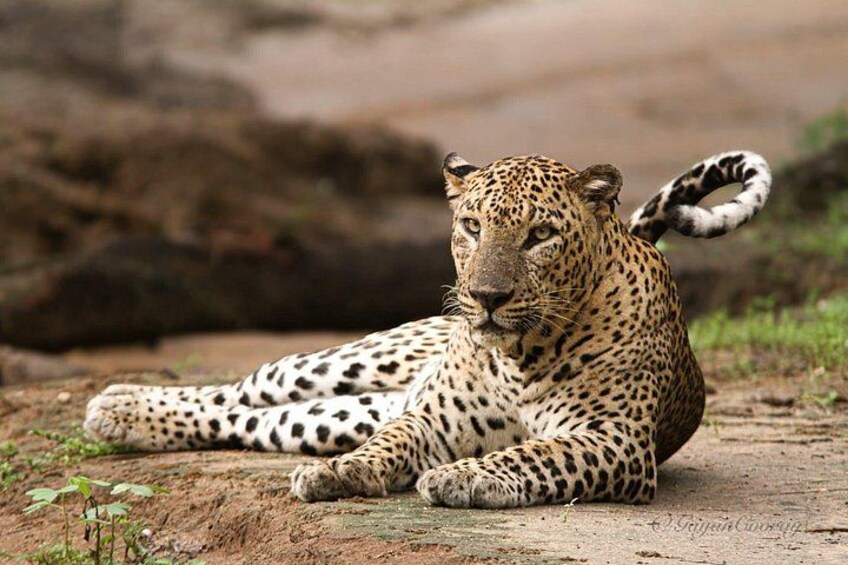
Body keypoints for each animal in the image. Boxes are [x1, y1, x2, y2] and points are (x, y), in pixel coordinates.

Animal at [84, 149, 771, 508]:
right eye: (471, 225)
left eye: (540, 235)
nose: (487, 298)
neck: (520, 353)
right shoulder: (430, 418)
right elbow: (389, 444)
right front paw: (342, 473)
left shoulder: (615, 439)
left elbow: (535, 452)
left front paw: (465, 476)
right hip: (353, 362)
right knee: (241, 389)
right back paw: (118, 405)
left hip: (341, 411)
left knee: (252, 421)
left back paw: (120, 416)